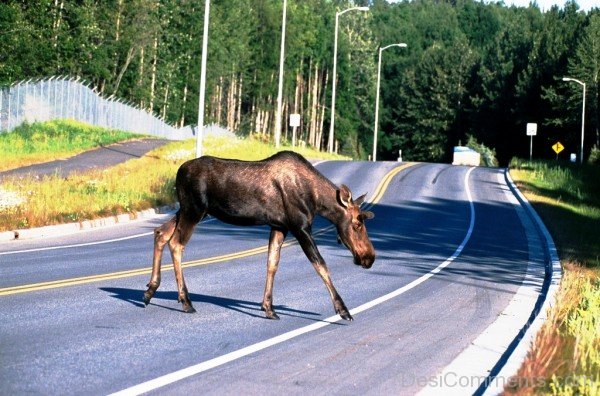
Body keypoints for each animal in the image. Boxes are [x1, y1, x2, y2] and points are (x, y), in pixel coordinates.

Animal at [142, 150, 372, 320]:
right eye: (357, 223)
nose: (369, 258)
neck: (316, 200)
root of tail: (178, 172)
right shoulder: (300, 227)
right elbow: (321, 265)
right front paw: (343, 310)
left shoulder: (280, 226)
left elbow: (272, 264)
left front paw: (269, 308)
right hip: (194, 209)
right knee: (176, 243)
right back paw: (186, 301)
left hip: (188, 210)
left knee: (161, 232)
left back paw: (150, 291)